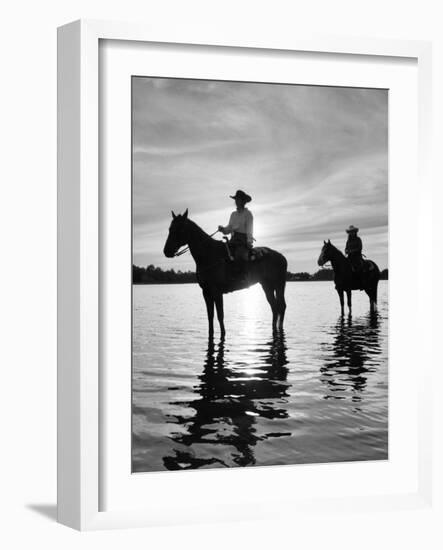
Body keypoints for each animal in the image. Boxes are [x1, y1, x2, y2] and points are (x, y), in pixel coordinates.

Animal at [164, 210, 288, 338]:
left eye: (179, 229)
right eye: (170, 228)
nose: (166, 251)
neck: (209, 255)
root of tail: (281, 257)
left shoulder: (217, 292)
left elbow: (220, 316)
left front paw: (223, 334)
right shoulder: (206, 292)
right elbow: (210, 316)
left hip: (279, 285)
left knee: (281, 306)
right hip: (267, 286)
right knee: (274, 307)